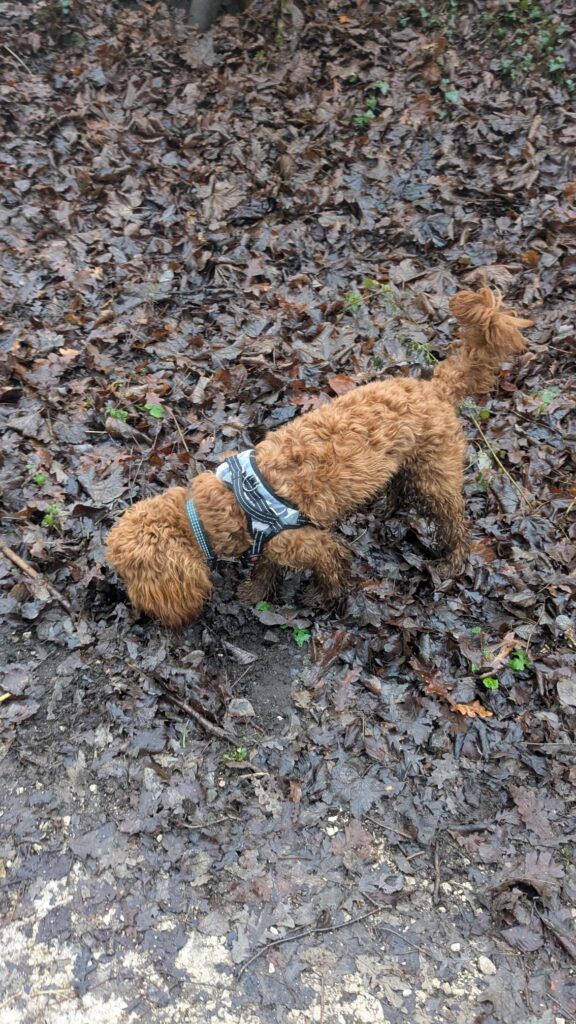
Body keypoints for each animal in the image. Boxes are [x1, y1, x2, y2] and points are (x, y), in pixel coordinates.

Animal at [107, 288, 532, 626]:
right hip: (408, 462)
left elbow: (330, 569)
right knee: (400, 487)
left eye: (130, 576)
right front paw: (255, 592)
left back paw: (453, 561)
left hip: (435, 474)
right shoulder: (269, 544)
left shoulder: (310, 543)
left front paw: (316, 598)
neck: (231, 503)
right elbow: (266, 567)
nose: (132, 609)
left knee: (454, 520)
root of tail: (436, 388)